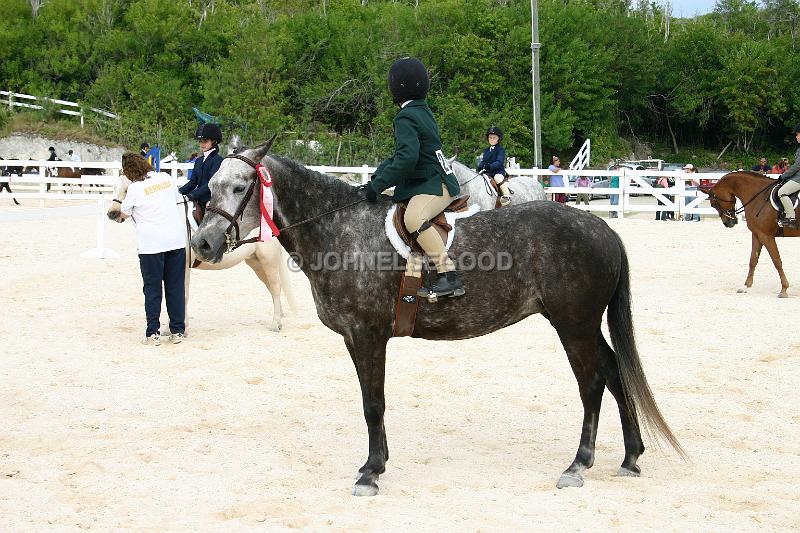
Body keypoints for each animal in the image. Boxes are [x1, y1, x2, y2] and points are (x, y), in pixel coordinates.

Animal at [191, 140, 684, 494]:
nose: (204, 245)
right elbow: (372, 401)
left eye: (240, 187)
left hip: (573, 325)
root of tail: (602, 227)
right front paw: (377, 464)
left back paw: (579, 464)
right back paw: (631, 457)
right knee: (615, 372)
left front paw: (371, 472)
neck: (338, 230)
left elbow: (373, 403)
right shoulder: (358, 338)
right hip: (582, 324)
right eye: (209, 186)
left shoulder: (367, 335)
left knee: (593, 383)